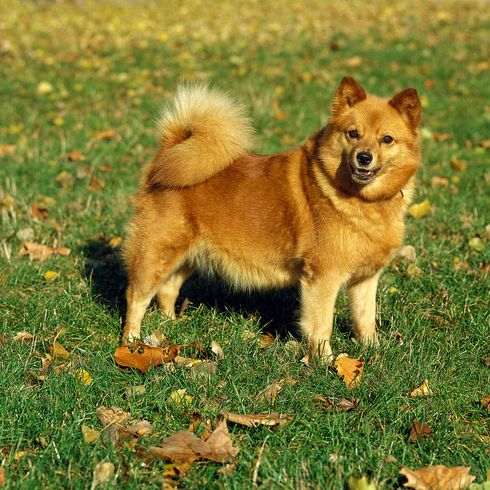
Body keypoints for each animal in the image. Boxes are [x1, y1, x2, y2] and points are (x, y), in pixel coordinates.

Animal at [121, 77, 422, 364]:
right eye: (353, 134)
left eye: (387, 139)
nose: (364, 157)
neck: (362, 200)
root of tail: (170, 149)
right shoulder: (323, 278)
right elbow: (321, 325)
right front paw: (326, 362)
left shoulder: (366, 279)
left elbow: (365, 319)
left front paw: (374, 351)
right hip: (156, 253)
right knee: (136, 297)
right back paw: (132, 344)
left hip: (187, 256)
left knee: (167, 291)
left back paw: (169, 327)